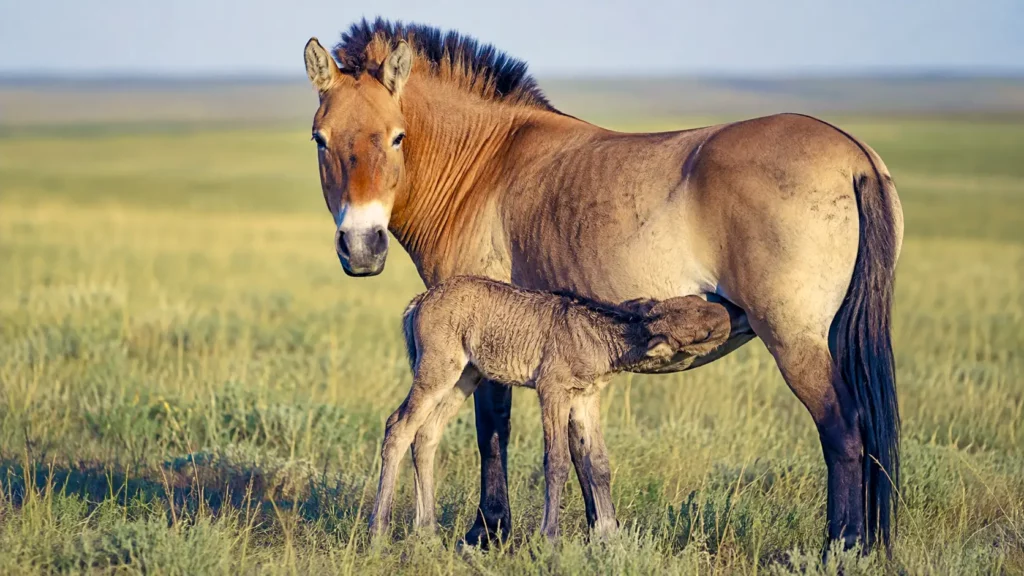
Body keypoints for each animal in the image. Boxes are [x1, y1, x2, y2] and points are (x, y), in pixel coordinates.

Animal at [301, 18, 904, 552]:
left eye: (396, 137)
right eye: (320, 140)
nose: (361, 247)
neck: (485, 167)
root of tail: (855, 155)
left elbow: (493, 429)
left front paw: (488, 533)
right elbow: (581, 450)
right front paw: (598, 534)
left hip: (794, 341)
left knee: (843, 430)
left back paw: (843, 546)